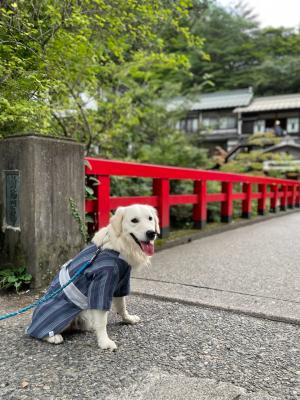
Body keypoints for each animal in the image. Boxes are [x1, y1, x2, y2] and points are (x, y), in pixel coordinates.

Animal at [26, 205, 159, 352]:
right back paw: (53, 336)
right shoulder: (102, 282)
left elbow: (122, 305)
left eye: (150, 218)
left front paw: (128, 319)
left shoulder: (121, 282)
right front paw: (104, 342)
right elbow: (102, 320)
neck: (118, 245)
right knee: (38, 332)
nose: (151, 233)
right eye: (134, 220)